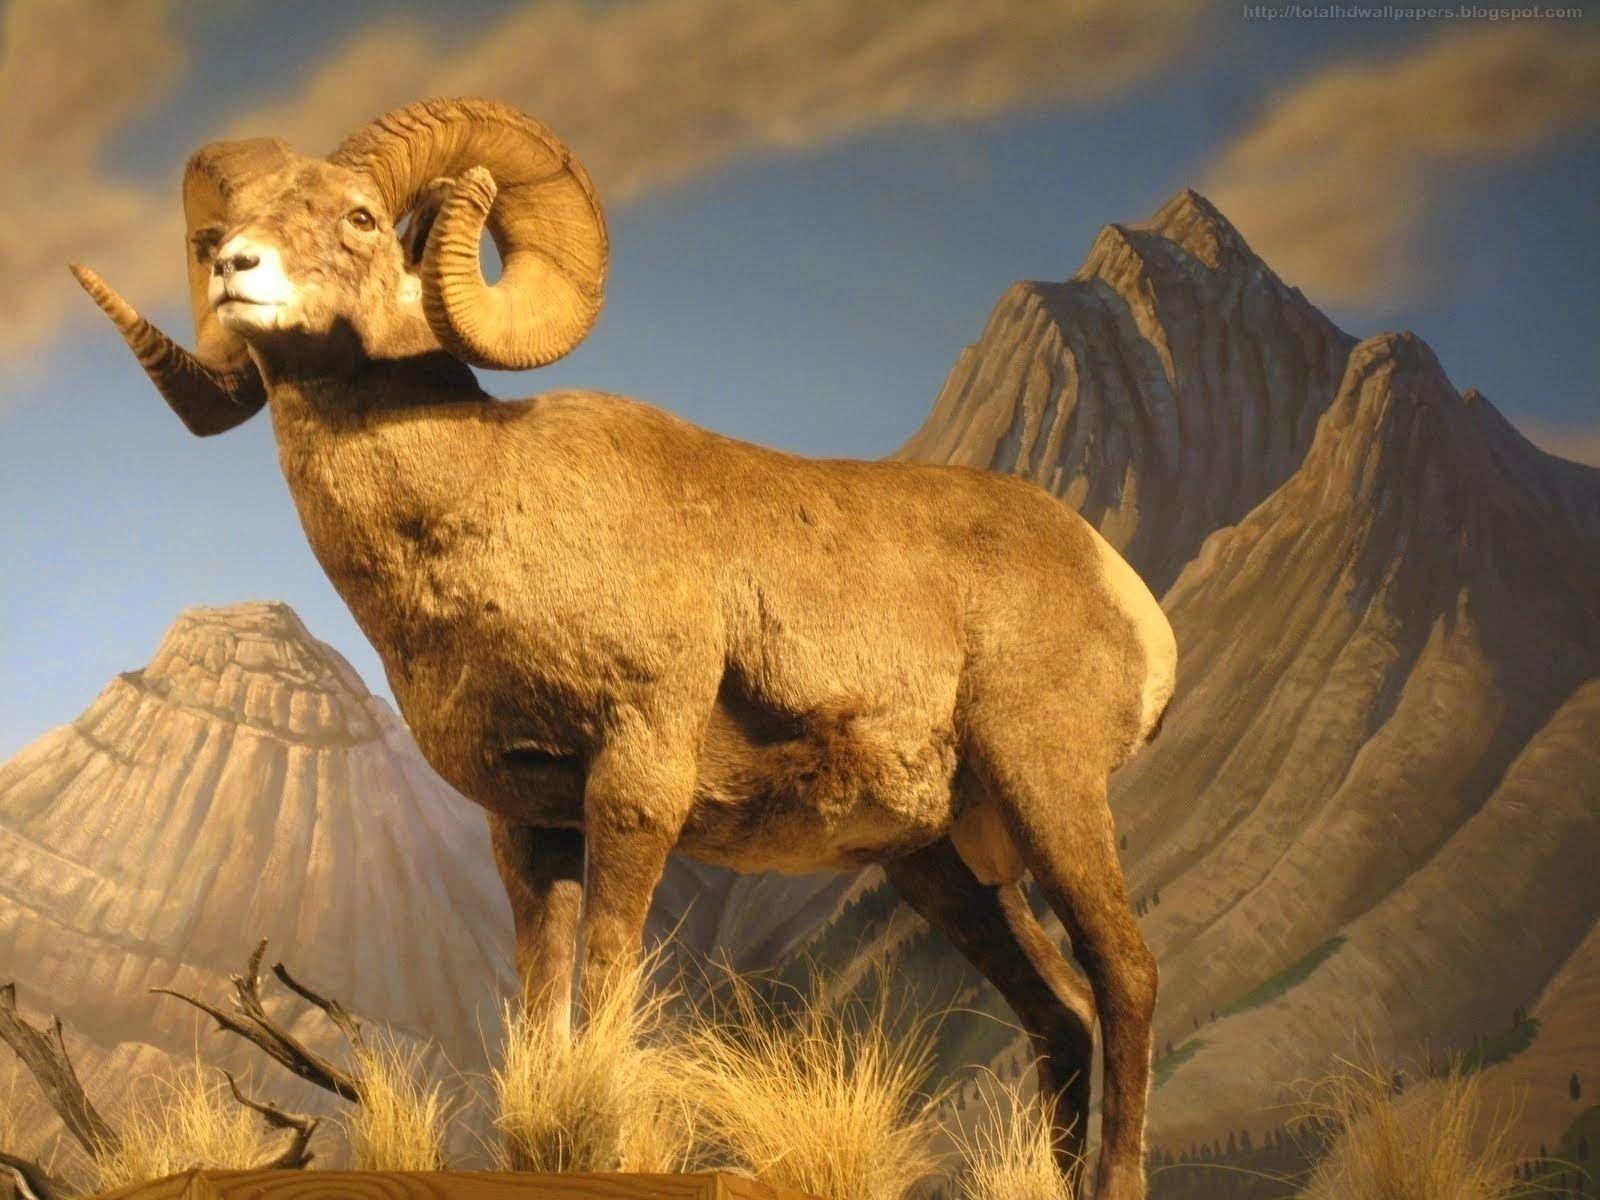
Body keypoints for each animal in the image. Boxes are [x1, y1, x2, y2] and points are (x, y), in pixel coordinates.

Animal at [73, 97, 1175, 1199]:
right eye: (226, 227)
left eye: (358, 217)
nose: (236, 269)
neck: (487, 514)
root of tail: (1116, 584)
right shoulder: (526, 824)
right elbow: (541, 1008)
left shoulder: (638, 780)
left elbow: (604, 984)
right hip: (942, 865)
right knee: (1060, 1014)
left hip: (1048, 790)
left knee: (1125, 975)